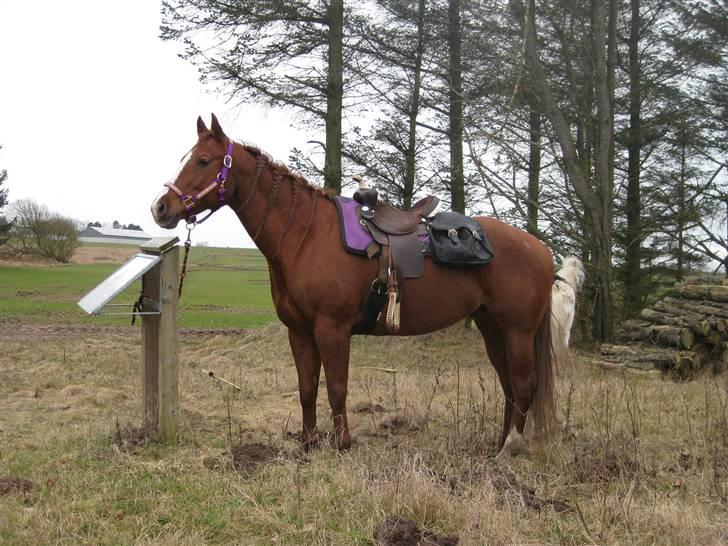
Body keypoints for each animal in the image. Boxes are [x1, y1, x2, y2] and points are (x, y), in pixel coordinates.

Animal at [151, 115, 556, 460]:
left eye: (203, 161)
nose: (161, 208)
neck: (306, 235)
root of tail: (540, 248)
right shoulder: (299, 331)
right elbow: (307, 388)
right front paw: (307, 445)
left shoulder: (332, 328)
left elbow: (336, 387)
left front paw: (341, 444)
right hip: (492, 327)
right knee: (508, 385)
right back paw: (499, 445)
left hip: (518, 330)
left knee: (523, 384)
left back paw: (508, 450)